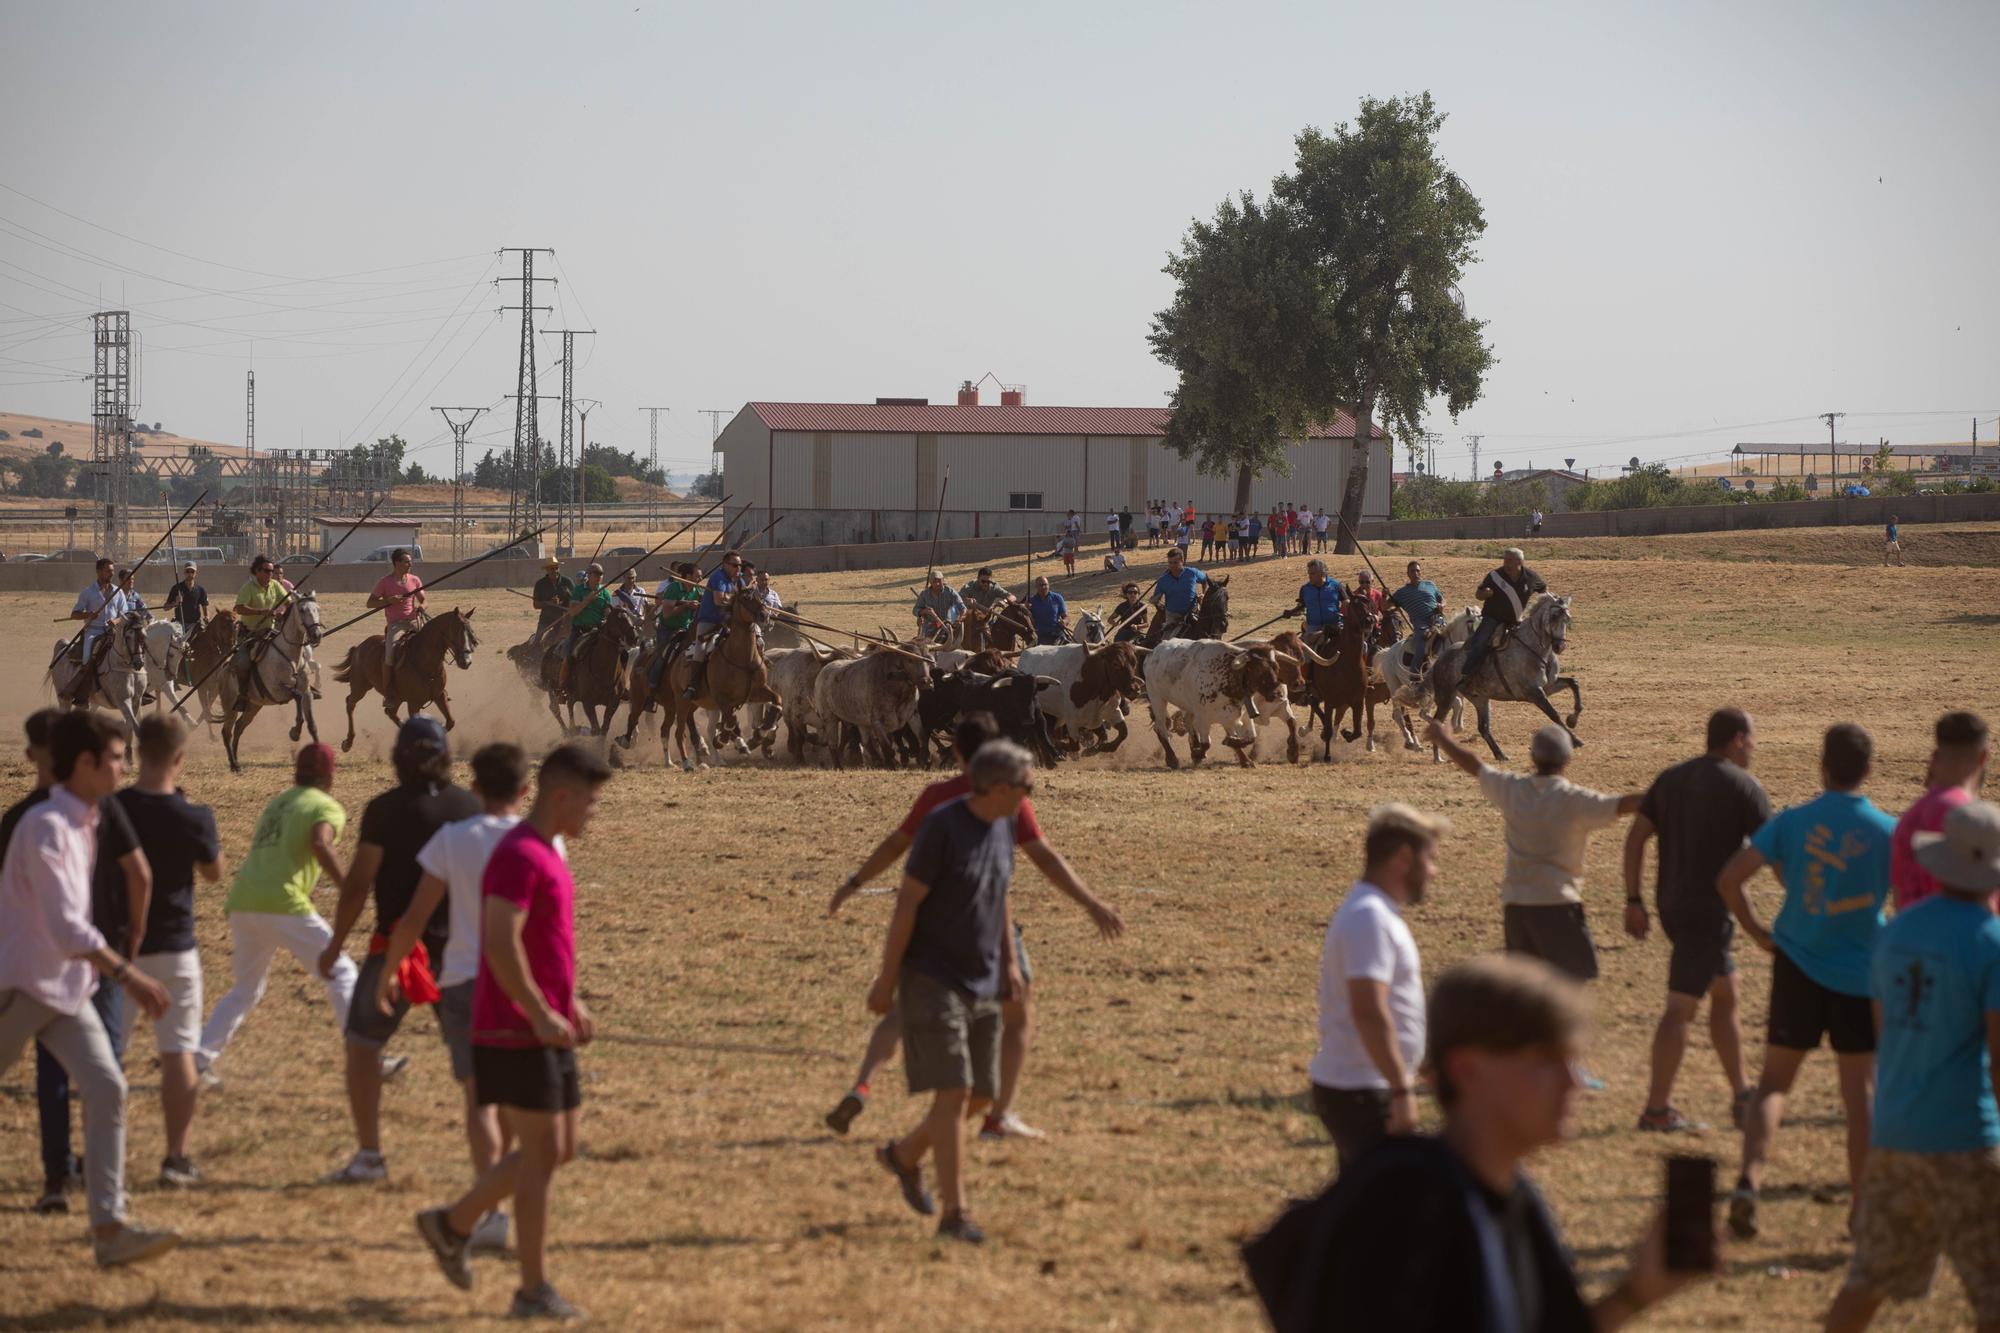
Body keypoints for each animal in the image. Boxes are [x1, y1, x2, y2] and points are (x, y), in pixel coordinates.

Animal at [334, 608, 482, 752]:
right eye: (457, 631)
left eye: (471, 634)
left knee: (390, 713)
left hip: (397, 697)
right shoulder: (413, 703)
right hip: (360, 687)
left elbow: (450, 722)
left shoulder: (439, 695)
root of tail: (358, 648)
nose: (467, 662)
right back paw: (348, 742)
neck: (424, 661)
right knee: (350, 703)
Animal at [1376, 608, 1472, 752]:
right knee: (1400, 714)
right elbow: (1457, 703)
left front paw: (1457, 725)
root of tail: (1388, 652)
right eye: (1470, 622)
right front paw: (1454, 725)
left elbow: (1459, 703)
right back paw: (1412, 741)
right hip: (1394, 686)